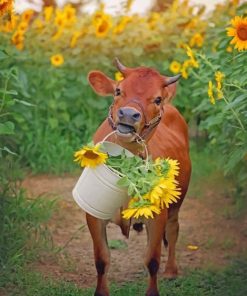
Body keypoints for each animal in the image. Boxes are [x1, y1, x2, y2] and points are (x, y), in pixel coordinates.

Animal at [86, 58, 191, 296]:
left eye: (157, 99)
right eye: (118, 90)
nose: (128, 114)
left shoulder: (158, 215)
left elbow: (152, 260)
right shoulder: (93, 214)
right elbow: (101, 259)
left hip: (177, 202)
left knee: (173, 230)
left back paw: (171, 271)